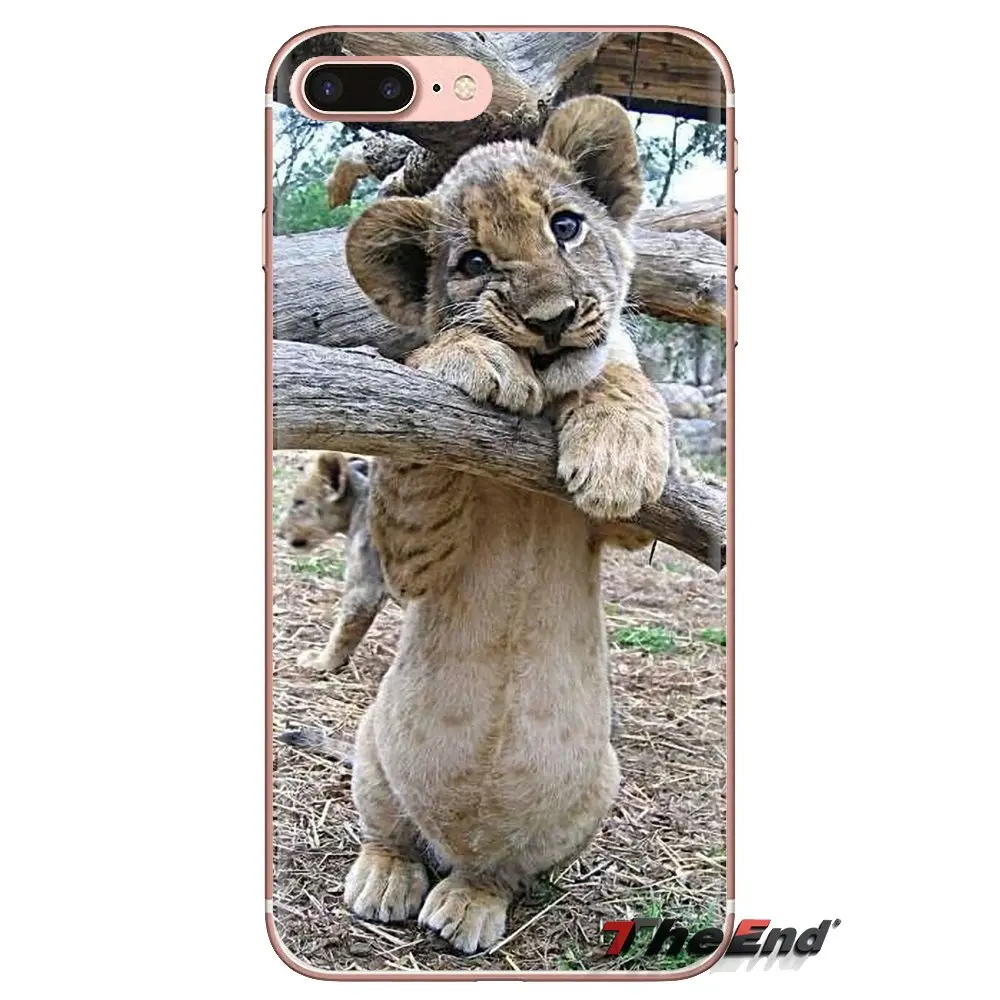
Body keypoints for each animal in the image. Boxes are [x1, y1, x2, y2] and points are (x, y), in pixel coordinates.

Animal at [339, 95, 672, 954]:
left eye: (566, 225)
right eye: (473, 263)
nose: (550, 320)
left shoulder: (638, 532)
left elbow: (619, 371)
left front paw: (618, 454)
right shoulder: (414, 552)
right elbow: (424, 389)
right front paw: (477, 360)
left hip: (594, 792)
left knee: (496, 871)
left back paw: (470, 901)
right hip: (372, 745)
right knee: (391, 833)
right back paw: (385, 880)